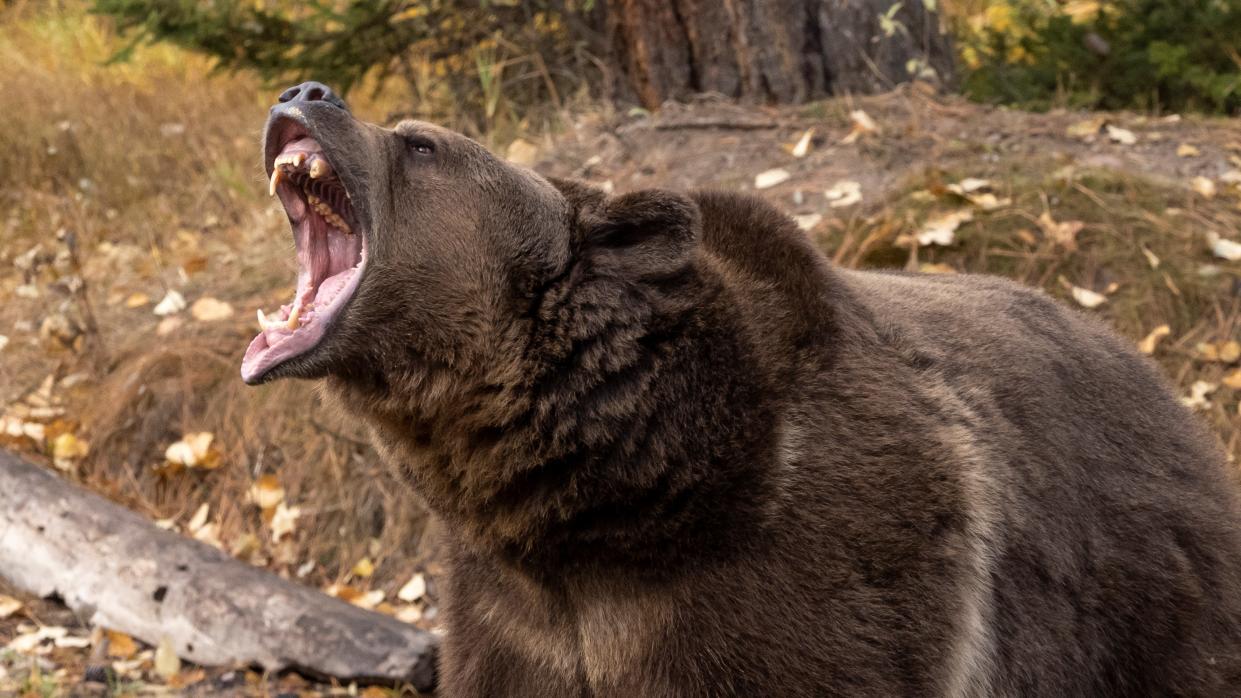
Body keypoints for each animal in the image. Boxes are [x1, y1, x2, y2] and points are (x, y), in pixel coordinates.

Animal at [246, 82, 1241, 695]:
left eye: (419, 143)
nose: (305, 92)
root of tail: (1153, 373)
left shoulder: (814, 571)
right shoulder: (517, 613)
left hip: (1135, 596)